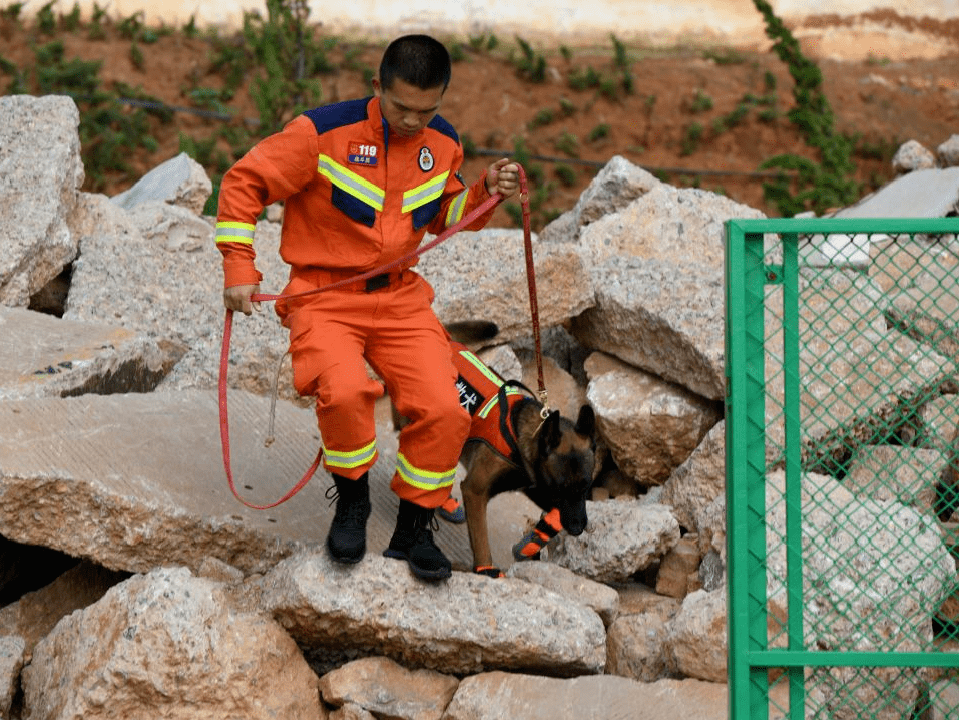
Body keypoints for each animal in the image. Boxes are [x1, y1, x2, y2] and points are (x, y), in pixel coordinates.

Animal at [394, 324, 596, 576]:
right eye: (561, 488)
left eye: (587, 486)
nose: (578, 528)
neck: (519, 435)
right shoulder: (476, 491)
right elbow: (481, 540)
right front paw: (486, 569)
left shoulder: (536, 486)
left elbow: (556, 513)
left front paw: (536, 538)